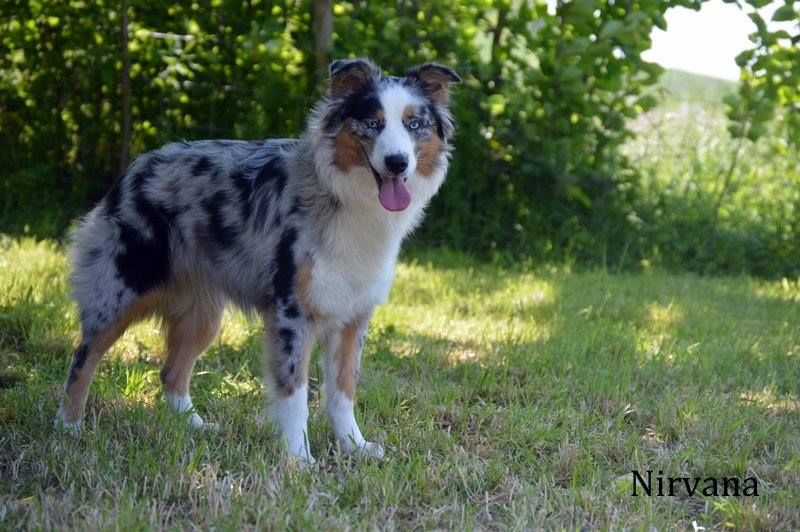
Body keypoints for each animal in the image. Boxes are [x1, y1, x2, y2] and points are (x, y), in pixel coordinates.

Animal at [54, 60, 456, 464]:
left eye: (414, 124)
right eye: (373, 123)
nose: (397, 163)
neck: (345, 197)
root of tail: (137, 166)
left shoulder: (353, 315)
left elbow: (343, 392)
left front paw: (354, 446)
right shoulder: (291, 313)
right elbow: (295, 396)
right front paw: (299, 458)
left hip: (203, 316)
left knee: (170, 372)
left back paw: (194, 425)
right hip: (120, 290)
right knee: (84, 357)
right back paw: (68, 427)